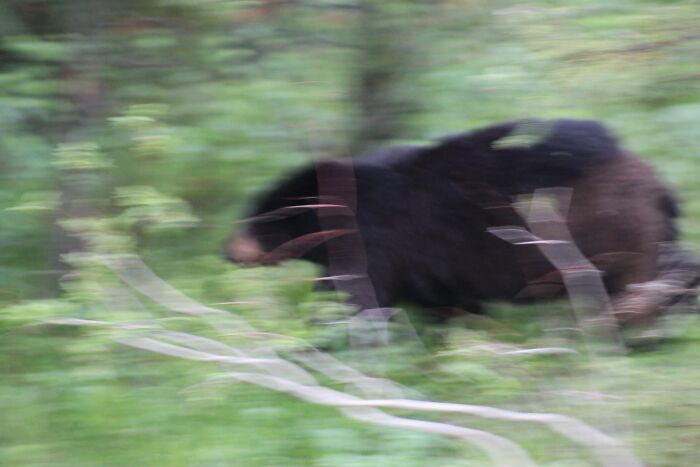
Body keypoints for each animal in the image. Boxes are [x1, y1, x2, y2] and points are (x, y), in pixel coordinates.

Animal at [226, 119, 699, 325]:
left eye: (258, 221)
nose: (225, 251)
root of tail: (659, 184)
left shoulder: (372, 243)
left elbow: (358, 297)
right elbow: (445, 306)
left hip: (611, 229)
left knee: (636, 282)